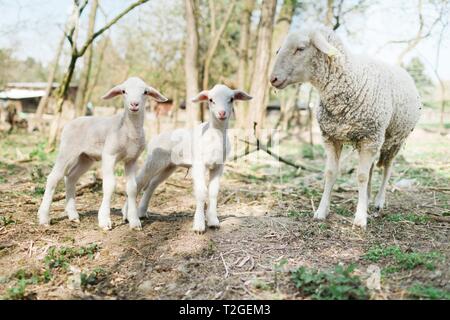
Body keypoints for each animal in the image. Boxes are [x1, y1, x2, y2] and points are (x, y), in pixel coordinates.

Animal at [37, 76, 168, 231]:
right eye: (123, 91)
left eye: (145, 92)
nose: (134, 104)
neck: (127, 130)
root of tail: (70, 122)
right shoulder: (109, 155)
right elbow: (109, 185)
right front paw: (105, 220)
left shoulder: (132, 159)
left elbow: (132, 187)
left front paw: (134, 222)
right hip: (67, 149)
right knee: (53, 178)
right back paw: (44, 217)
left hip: (85, 158)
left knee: (71, 177)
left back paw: (73, 215)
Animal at [121, 84, 251, 234]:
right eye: (211, 100)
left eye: (231, 99)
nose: (222, 113)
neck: (214, 136)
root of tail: (157, 136)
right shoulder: (199, 164)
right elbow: (201, 192)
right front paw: (199, 226)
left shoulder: (219, 166)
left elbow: (213, 192)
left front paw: (213, 222)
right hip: (153, 160)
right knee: (139, 182)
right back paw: (127, 215)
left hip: (169, 166)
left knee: (152, 184)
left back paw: (141, 212)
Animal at [270, 26, 422, 229]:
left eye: (300, 48)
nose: (273, 79)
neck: (352, 79)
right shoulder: (331, 137)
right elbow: (331, 173)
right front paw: (321, 211)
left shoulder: (370, 138)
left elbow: (361, 177)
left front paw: (360, 219)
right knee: (372, 169)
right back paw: (367, 199)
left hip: (394, 138)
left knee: (387, 168)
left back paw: (378, 202)